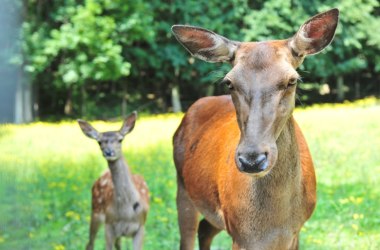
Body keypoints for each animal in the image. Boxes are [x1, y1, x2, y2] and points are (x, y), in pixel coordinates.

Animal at [78, 112, 149, 250]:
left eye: (120, 139)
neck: (126, 212)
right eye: (99, 142)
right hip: (95, 212)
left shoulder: (141, 226)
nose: (108, 152)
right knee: (90, 243)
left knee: (118, 244)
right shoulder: (109, 225)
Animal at [172, 8, 338, 249]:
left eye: (292, 80)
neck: (276, 222)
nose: (252, 159)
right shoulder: (240, 234)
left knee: (204, 229)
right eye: (229, 82)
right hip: (183, 188)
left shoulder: (296, 232)